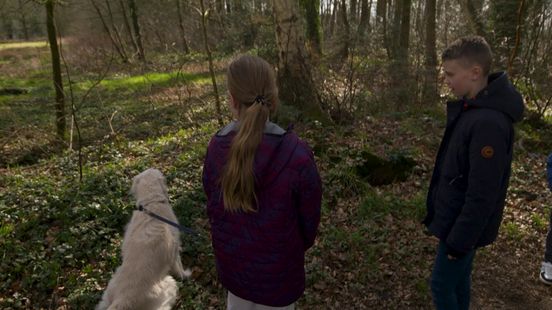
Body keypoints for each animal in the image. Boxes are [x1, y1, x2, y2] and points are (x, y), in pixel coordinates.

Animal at [97, 170, 188, 310]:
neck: (150, 204)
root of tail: (122, 300)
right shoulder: (174, 249)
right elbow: (179, 266)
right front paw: (185, 275)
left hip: (108, 291)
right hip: (169, 284)